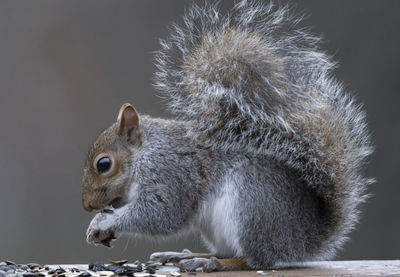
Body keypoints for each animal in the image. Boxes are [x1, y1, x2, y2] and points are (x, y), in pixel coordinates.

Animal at [82, 0, 376, 270]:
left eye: (104, 164)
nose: (87, 206)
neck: (146, 153)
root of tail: (302, 240)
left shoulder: (172, 174)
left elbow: (162, 214)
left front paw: (105, 220)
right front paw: (98, 224)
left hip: (251, 206)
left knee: (252, 260)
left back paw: (213, 263)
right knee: (228, 251)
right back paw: (185, 256)